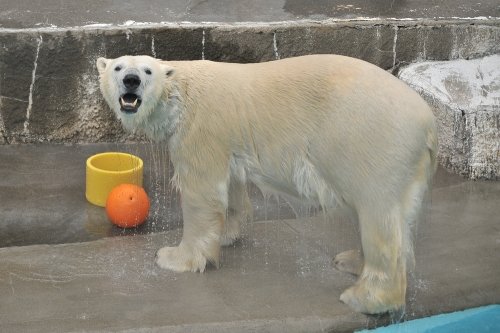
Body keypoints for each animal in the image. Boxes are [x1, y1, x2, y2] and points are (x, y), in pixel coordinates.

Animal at [95, 54, 436, 314]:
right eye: (118, 67)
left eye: (147, 70)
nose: (131, 80)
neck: (181, 93)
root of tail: (428, 122)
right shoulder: (227, 140)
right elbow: (231, 187)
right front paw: (227, 234)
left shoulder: (200, 128)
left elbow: (201, 192)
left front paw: (175, 257)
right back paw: (351, 260)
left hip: (372, 141)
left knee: (378, 216)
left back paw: (364, 297)